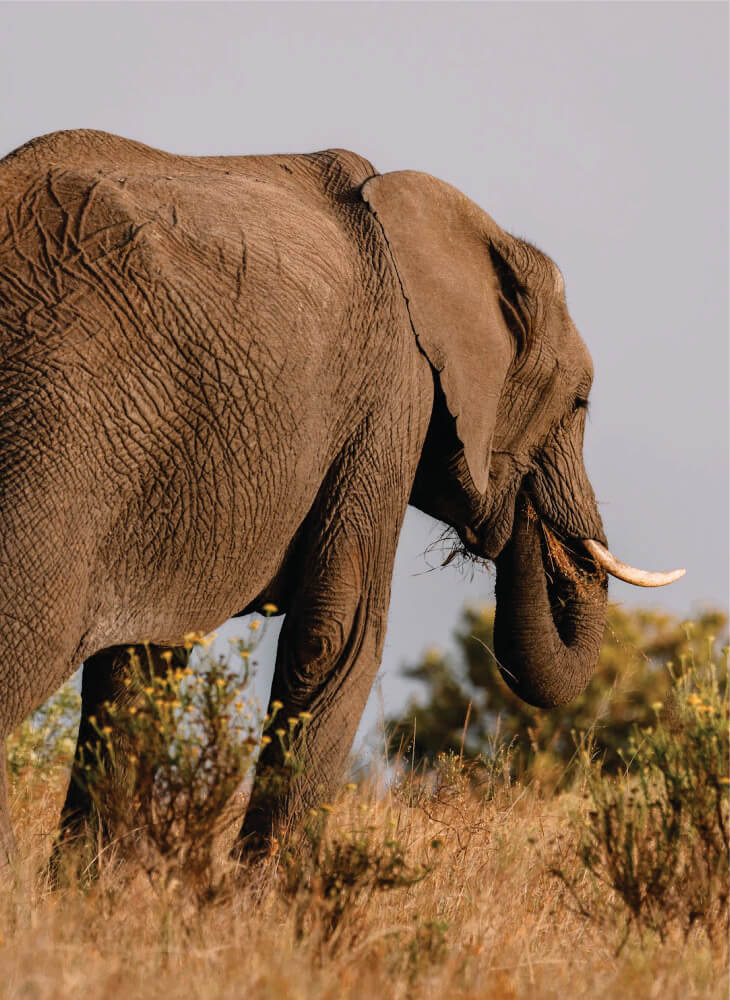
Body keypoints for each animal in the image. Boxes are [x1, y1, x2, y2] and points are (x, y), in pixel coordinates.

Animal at [0, 131, 684, 868]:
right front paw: (264, 896)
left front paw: (89, 885)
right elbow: (338, 636)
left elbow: (143, 660)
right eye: (581, 402)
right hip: (56, 431)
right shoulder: (391, 394)